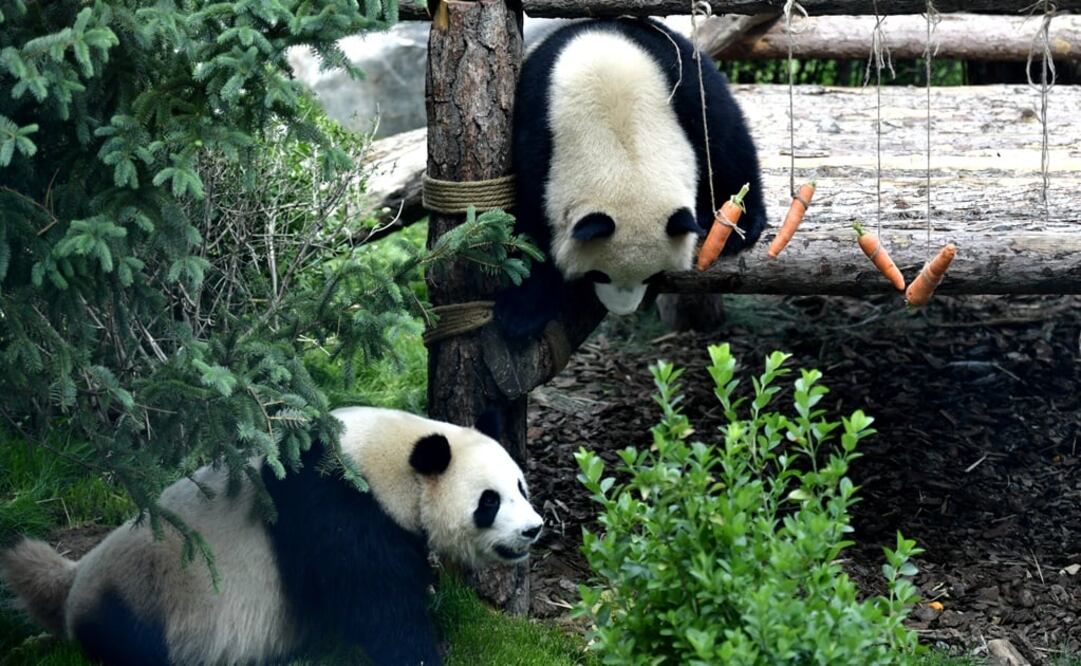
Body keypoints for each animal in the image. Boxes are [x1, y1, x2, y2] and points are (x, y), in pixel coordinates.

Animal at [0, 407, 543, 666]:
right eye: (489, 501)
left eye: (521, 486)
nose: (533, 530)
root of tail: (74, 579)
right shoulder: (336, 505)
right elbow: (374, 602)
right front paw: (423, 651)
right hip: (141, 596)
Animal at [497, 18, 767, 339]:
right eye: (599, 275)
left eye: (654, 275)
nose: (623, 310)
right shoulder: (538, 125)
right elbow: (530, 222)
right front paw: (522, 314)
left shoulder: (675, 73)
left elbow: (721, 131)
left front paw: (739, 224)